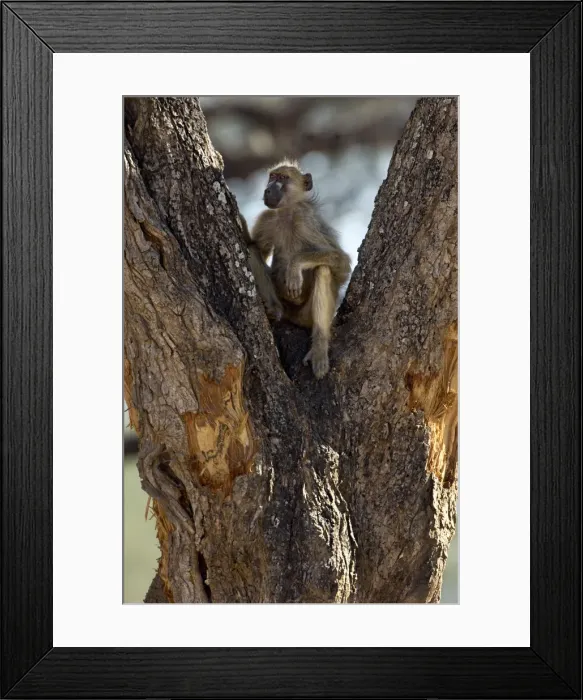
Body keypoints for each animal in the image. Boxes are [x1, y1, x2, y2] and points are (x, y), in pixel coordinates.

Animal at [245, 161, 351, 379]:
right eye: (272, 177)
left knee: (323, 269)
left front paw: (294, 267)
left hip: (305, 316)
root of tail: (291, 315)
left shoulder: (306, 220)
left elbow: (342, 263)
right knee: (250, 250)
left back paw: (319, 347)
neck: (287, 212)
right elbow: (256, 248)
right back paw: (274, 309)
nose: (268, 189)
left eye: (283, 178)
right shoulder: (268, 217)